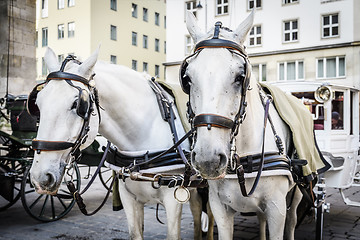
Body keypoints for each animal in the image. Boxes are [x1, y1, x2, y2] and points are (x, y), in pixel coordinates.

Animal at [29, 47, 210, 240]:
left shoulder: (174, 199)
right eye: (37, 103)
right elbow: (135, 233)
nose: (40, 177)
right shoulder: (129, 199)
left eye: (78, 104)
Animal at [181, 11, 302, 240]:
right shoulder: (219, 208)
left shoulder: (277, 209)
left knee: (292, 222)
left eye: (240, 77)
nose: (208, 159)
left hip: (298, 193)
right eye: (188, 79)